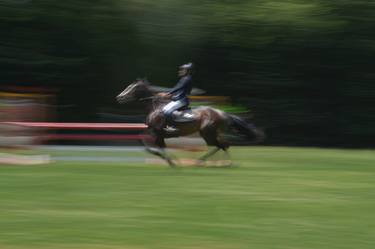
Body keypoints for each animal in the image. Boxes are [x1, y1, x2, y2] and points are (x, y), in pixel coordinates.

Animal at [117, 79, 264, 166]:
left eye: (133, 88)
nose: (119, 97)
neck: (156, 107)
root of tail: (223, 113)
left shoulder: (156, 131)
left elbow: (151, 145)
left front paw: (172, 161)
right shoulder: (156, 133)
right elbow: (151, 144)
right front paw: (171, 161)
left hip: (207, 133)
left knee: (221, 145)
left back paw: (212, 162)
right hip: (209, 134)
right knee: (222, 145)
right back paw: (218, 163)